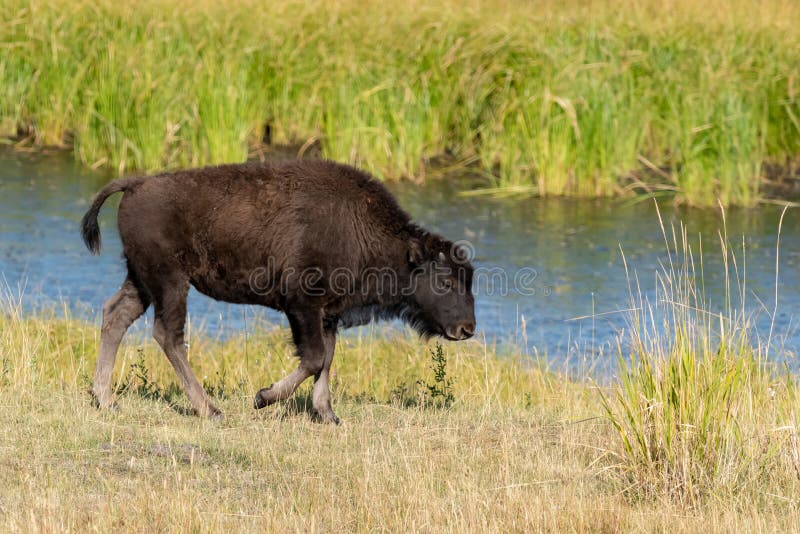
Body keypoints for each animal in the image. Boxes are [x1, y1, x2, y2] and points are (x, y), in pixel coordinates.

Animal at [83, 158, 476, 422]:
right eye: (444, 281)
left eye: (469, 280)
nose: (467, 329)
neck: (362, 229)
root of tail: (136, 184)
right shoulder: (301, 305)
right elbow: (314, 357)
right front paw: (263, 397)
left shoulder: (327, 314)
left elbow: (326, 358)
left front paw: (328, 414)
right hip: (171, 282)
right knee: (169, 335)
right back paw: (209, 409)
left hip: (142, 280)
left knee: (116, 316)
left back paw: (106, 399)